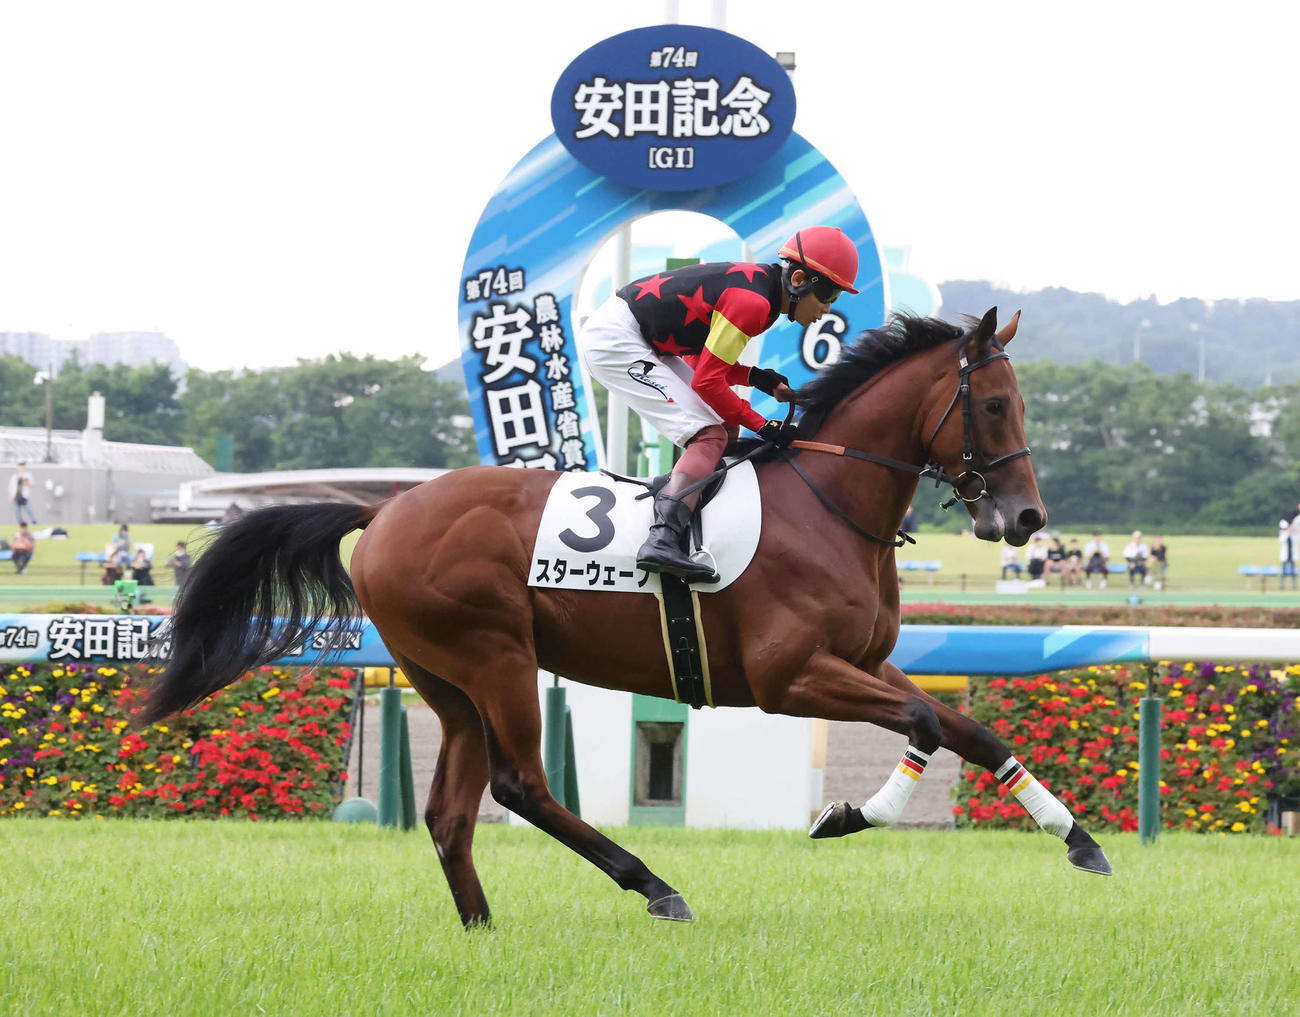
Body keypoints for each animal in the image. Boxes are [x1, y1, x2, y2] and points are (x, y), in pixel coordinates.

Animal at [140, 307, 1112, 928]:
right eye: (995, 404)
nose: (1026, 518)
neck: (829, 503)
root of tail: (381, 512)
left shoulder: (865, 662)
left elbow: (969, 729)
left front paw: (1080, 839)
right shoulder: (790, 676)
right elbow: (923, 724)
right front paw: (845, 814)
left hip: (444, 681)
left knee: (452, 811)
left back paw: (483, 925)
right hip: (496, 656)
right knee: (520, 786)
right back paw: (652, 884)